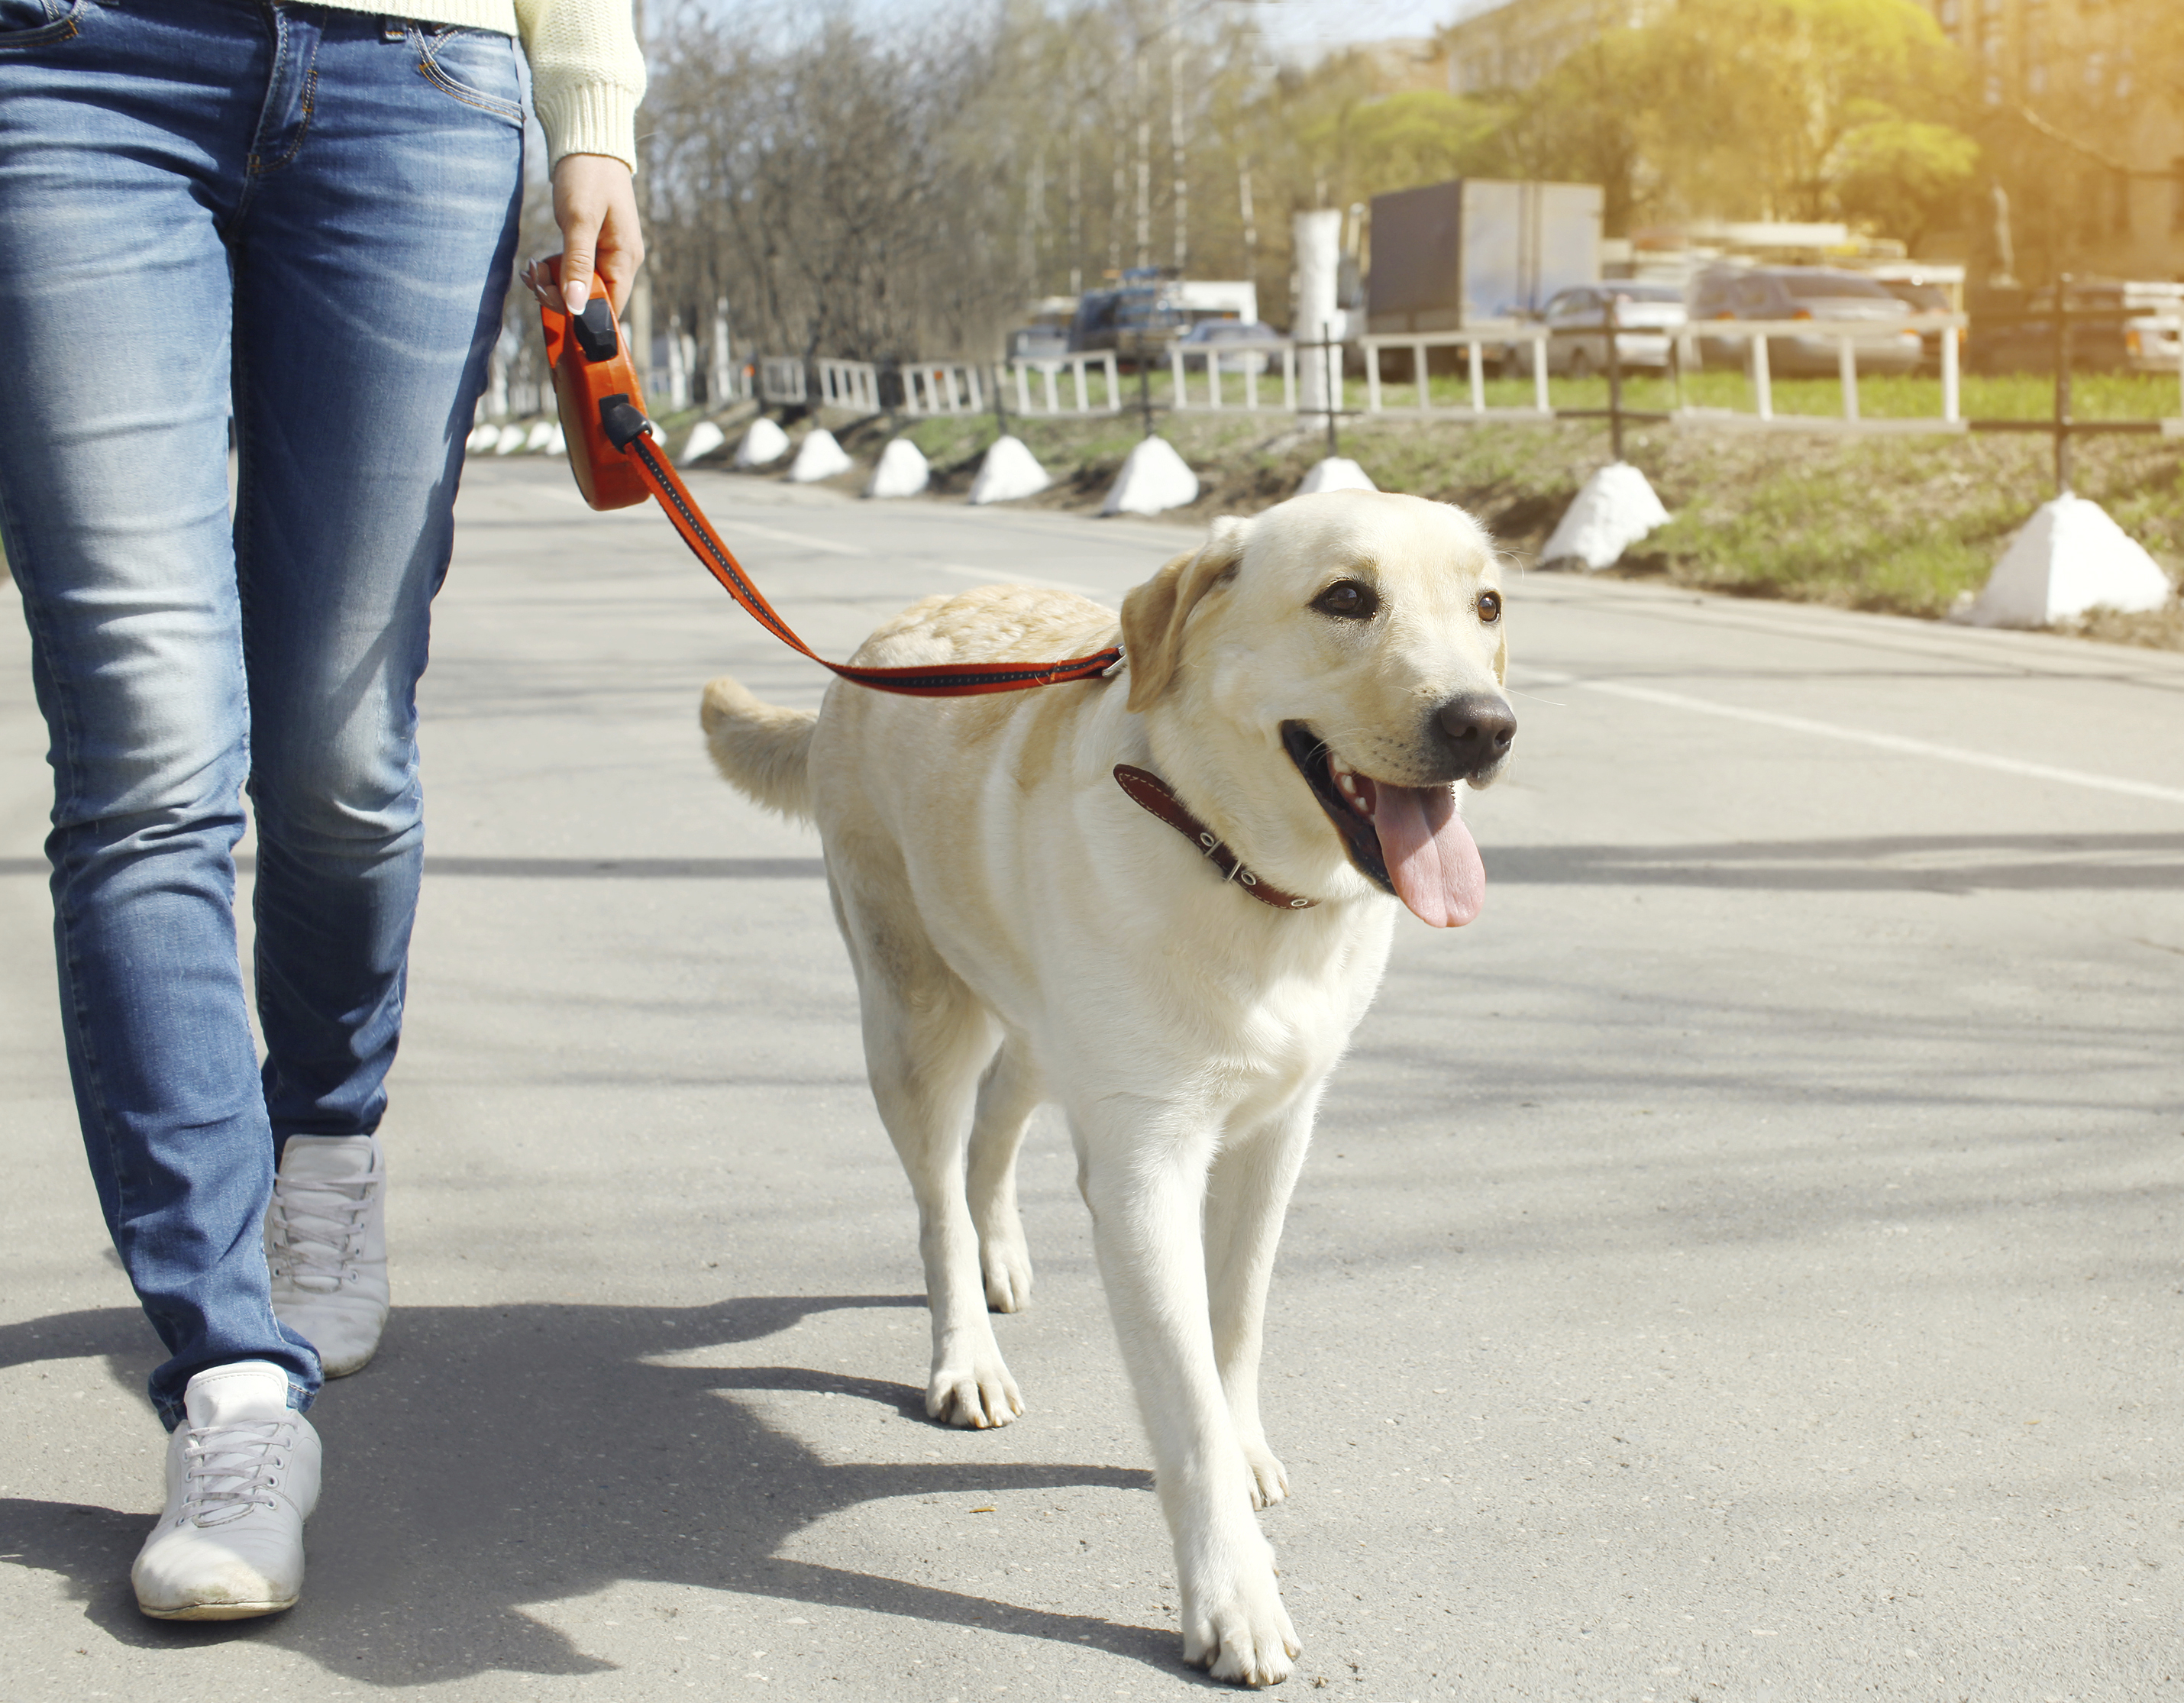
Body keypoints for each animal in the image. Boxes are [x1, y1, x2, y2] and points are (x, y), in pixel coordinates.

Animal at [703, 484, 1520, 1685]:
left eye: (1487, 604)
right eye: (1346, 598)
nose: (1484, 726)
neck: (1239, 870)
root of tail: (879, 644)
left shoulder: (1277, 1135)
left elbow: (1236, 1324)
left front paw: (1245, 1443)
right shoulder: (1145, 1168)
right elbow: (1184, 1404)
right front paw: (1234, 1595)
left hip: (1040, 1021)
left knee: (996, 1129)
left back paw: (1000, 1256)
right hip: (914, 1016)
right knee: (938, 1197)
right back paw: (966, 1352)